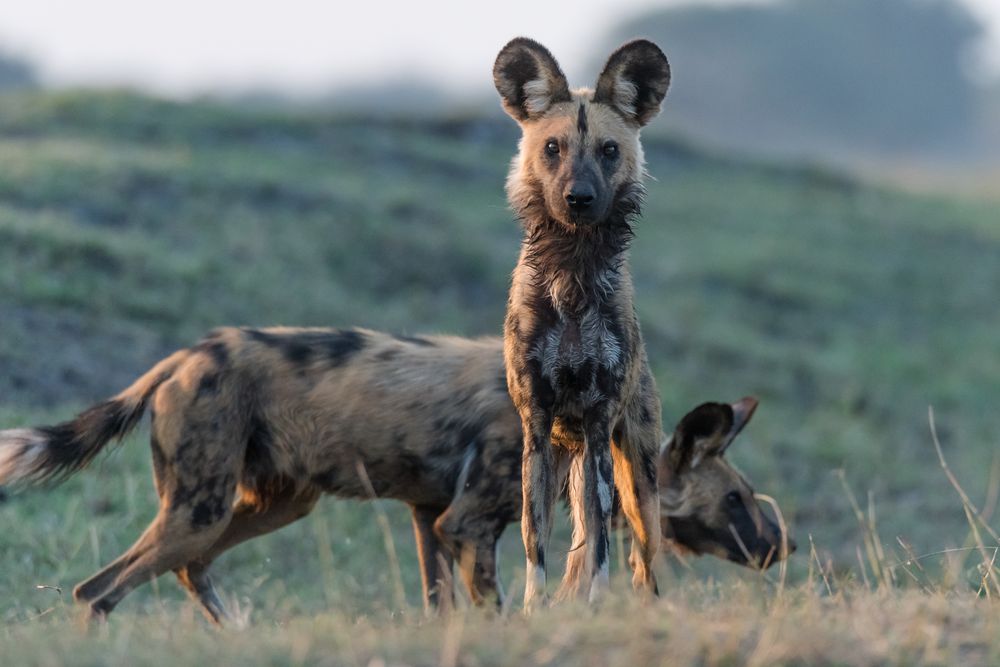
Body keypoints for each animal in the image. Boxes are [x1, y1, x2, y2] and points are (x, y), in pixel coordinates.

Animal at [1, 326, 796, 624]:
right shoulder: (466, 524)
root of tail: (183, 355)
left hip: (269, 504)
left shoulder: (429, 521)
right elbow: (494, 610)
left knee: (185, 568)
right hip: (203, 509)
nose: (782, 544)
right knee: (99, 589)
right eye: (735, 499)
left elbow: (440, 607)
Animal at [494, 39, 672, 608]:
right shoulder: (536, 427)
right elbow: (535, 543)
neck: (573, 274)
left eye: (609, 150)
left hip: (637, 485)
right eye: (553, 148)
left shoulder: (598, 425)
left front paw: (593, 604)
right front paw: (534, 610)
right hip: (557, 460)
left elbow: (598, 545)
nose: (579, 198)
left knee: (643, 562)